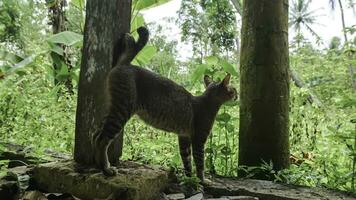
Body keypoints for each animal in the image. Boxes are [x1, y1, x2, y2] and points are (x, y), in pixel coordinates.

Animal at [92, 26, 236, 183]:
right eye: (234, 89)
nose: (237, 95)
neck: (206, 101)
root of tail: (126, 64)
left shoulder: (184, 137)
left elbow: (187, 161)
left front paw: (189, 178)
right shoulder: (198, 139)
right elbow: (199, 163)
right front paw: (202, 180)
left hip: (113, 109)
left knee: (95, 135)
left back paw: (97, 165)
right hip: (122, 111)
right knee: (102, 139)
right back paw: (106, 168)